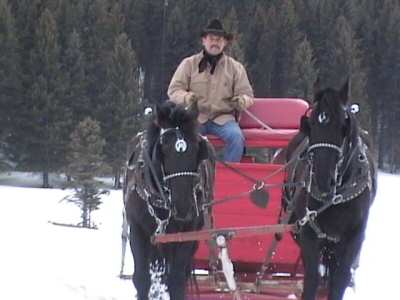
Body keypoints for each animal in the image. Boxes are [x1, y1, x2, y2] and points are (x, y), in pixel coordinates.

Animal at [123, 101, 216, 300]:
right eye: (163, 148)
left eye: (196, 147)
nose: (183, 207)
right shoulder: (137, 229)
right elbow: (141, 279)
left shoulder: (188, 233)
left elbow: (176, 281)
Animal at [284, 80, 376, 300]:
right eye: (312, 123)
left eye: (343, 126)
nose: (323, 179)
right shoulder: (308, 233)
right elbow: (311, 279)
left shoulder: (353, 237)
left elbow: (340, 280)